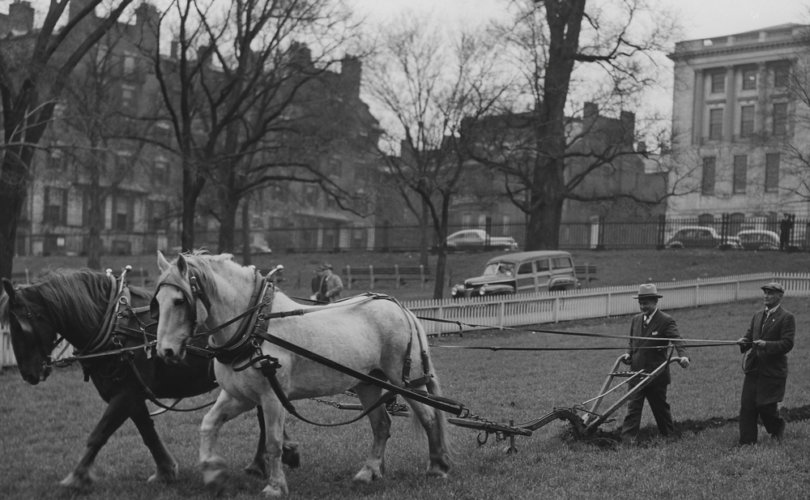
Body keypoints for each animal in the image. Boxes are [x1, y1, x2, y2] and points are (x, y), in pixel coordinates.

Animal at [0, 268, 296, 490]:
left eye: (20, 326)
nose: (29, 374)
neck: (114, 327)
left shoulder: (126, 393)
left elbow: (99, 433)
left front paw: (76, 476)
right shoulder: (130, 393)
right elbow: (147, 432)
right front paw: (165, 470)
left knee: (264, 418)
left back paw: (261, 463)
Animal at [153, 254, 448, 496]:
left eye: (179, 301)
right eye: (157, 301)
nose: (165, 351)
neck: (255, 327)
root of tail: (401, 308)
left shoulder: (271, 397)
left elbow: (273, 442)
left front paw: (275, 486)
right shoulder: (239, 396)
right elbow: (208, 424)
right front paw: (213, 473)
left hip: (406, 381)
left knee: (429, 416)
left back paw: (437, 467)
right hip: (367, 383)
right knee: (382, 425)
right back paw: (369, 472)